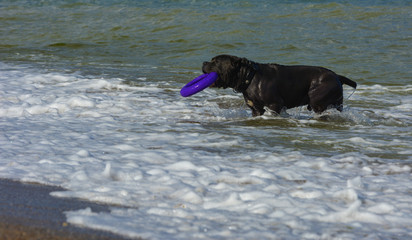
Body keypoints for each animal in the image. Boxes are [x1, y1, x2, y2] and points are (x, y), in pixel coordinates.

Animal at [201, 55, 356, 117]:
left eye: (215, 61)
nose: (203, 62)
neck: (249, 76)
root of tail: (337, 76)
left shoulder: (275, 104)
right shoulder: (256, 109)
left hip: (319, 97)